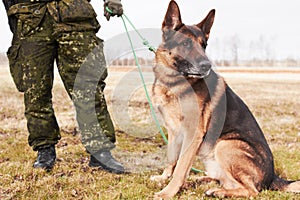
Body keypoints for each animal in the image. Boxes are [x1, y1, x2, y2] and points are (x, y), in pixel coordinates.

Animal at [151, 0, 298, 199]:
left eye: (204, 45)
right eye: (186, 43)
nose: (207, 65)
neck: (173, 82)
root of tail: (273, 177)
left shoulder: (193, 133)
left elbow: (181, 167)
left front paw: (168, 191)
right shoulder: (173, 131)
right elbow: (172, 158)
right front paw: (164, 178)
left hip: (225, 144)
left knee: (252, 191)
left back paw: (217, 191)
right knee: (222, 179)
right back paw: (201, 181)